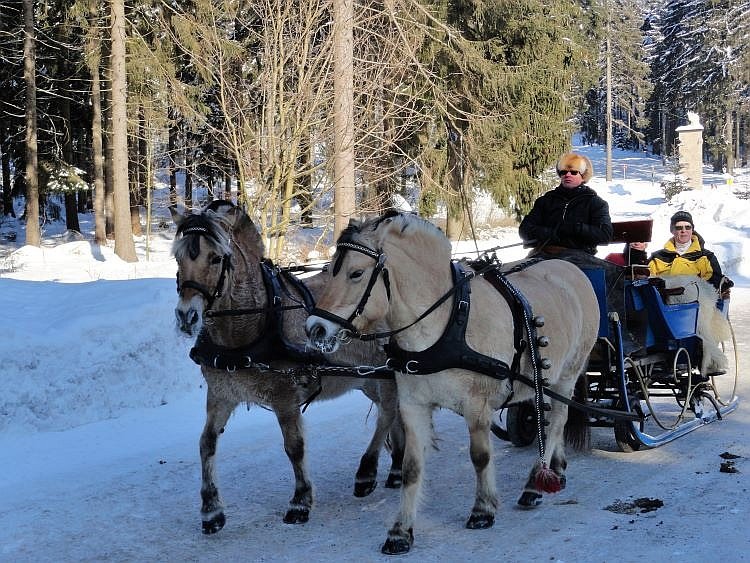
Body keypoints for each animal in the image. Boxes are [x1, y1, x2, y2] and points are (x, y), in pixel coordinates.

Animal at [170, 200, 406, 536]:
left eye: (215, 258)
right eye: (177, 257)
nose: (186, 317)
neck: (254, 326)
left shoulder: (286, 397)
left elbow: (294, 446)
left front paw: (300, 501)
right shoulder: (221, 394)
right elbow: (206, 444)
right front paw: (211, 509)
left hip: (386, 373)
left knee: (386, 414)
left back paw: (367, 472)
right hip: (368, 380)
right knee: (394, 414)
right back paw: (397, 468)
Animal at [306, 212, 600, 556]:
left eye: (356, 273)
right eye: (330, 271)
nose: (315, 328)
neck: (445, 327)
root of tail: (571, 269)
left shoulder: (477, 406)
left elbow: (480, 457)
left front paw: (483, 509)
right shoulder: (414, 406)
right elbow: (411, 468)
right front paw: (400, 531)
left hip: (569, 373)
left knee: (557, 422)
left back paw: (533, 485)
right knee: (551, 417)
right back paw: (557, 469)